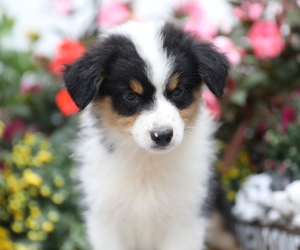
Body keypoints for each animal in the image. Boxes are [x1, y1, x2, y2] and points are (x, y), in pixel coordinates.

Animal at [62, 22, 230, 250]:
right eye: (131, 96)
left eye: (178, 91)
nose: (163, 135)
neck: (147, 162)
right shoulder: (106, 221)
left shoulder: (186, 219)